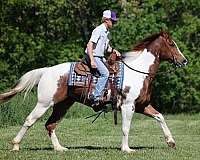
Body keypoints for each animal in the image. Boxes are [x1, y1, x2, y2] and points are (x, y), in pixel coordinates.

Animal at [0, 31, 188, 152]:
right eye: (172, 44)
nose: (184, 60)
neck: (138, 72)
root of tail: (46, 71)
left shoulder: (142, 105)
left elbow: (160, 117)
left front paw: (171, 142)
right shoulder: (128, 106)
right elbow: (126, 128)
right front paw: (126, 149)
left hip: (62, 105)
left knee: (50, 125)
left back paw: (59, 148)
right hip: (44, 103)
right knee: (30, 120)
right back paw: (15, 145)